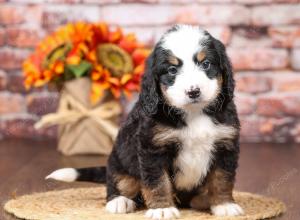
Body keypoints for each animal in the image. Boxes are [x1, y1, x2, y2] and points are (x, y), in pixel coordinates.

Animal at [47, 24, 244, 219]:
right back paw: (120, 201)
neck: (194, 113)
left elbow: (222, 179)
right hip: (119, 160)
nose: (193, 91)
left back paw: (203, 199)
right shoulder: (153, 148)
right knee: (118, 182)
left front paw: (224, 204)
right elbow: (158, 181)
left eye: (206, 64)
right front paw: (162, 208)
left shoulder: (225, 145)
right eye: (172, 70)